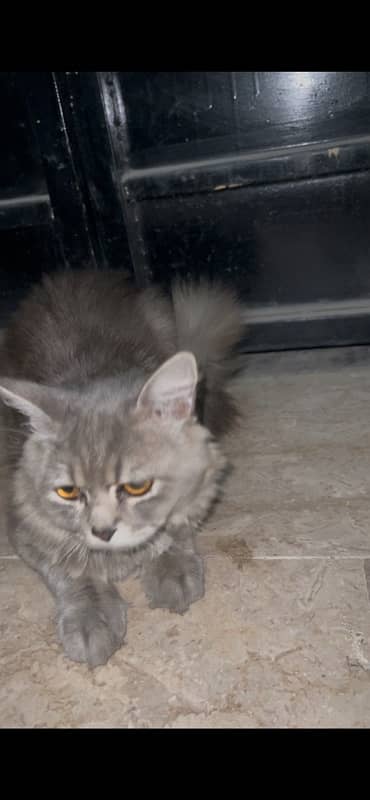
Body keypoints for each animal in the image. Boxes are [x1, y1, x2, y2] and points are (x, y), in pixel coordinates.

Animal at [0, 272, 244, 664]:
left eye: (137, 486)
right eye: (68, 491)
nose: (103, 531)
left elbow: (175, 529)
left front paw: (171, 570)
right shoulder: (26, 525)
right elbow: (71, 570)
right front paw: (90, 618)